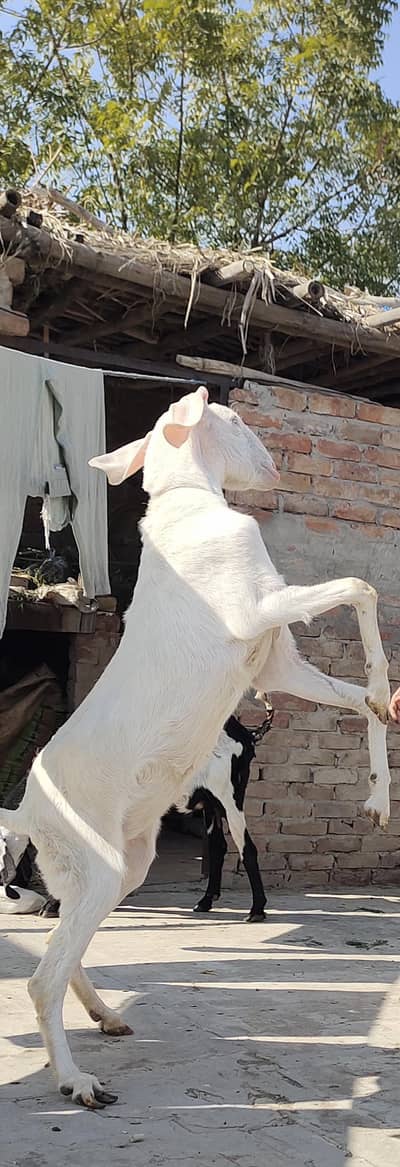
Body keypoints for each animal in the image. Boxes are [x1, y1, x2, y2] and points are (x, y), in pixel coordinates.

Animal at [186, 709, 273, 921]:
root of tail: (246, 736)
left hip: (229, 799)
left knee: (247, 849)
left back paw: (257, 910)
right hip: (211, 805)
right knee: (218, 846)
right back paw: (206, 901)